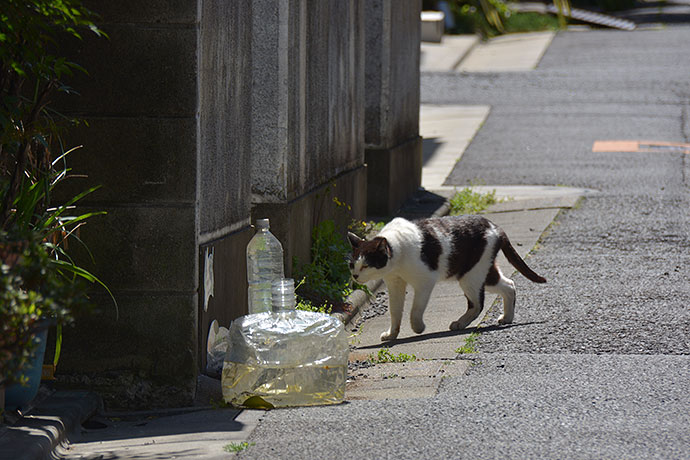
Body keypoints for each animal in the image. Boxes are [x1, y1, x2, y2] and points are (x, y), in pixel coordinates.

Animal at [346, 216, 544, 342]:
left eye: (366, 266)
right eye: (352, 265)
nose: (355, 276)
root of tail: (496, 227)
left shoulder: (424, 281)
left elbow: (415, 310)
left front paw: (418, 327)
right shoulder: (394, 284)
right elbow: (395, 311)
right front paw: (391, 334)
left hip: (470, 277)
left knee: (478, 304)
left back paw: (460, 323)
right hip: (482, 272)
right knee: (509, 285)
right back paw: (507, 317)